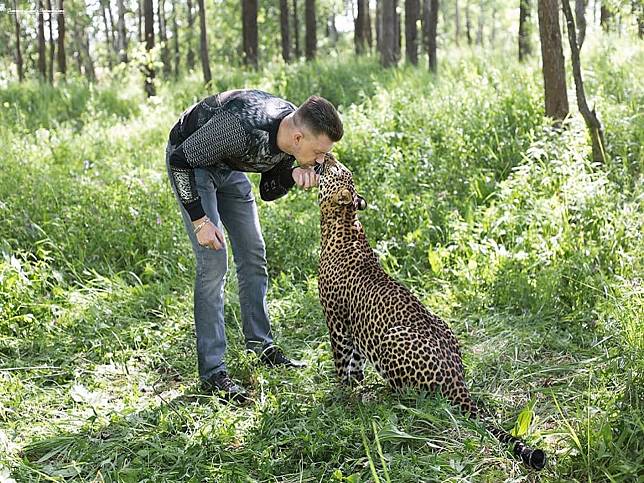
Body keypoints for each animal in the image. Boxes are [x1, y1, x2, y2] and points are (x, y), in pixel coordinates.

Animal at [314, 156, 544, 472]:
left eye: (337, 169)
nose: (327, 157)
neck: (342, 222)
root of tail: (458, 382)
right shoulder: (353, 326)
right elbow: (355, 364)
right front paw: (355, 389)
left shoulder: (335, 320)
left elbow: (342, 363)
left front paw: (341, 395)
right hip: (441, 323)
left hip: (392, 339)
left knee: (414, 397)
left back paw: (384, 397)